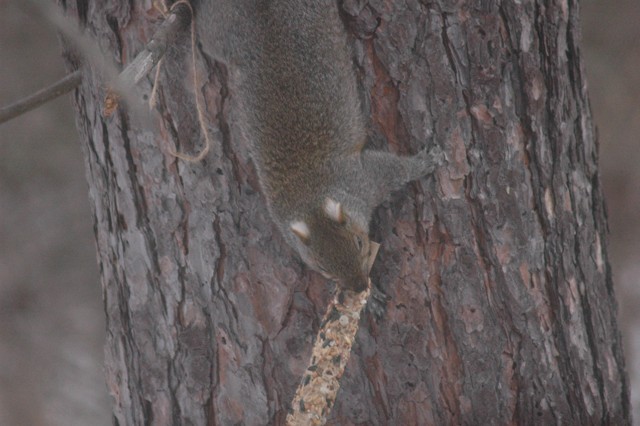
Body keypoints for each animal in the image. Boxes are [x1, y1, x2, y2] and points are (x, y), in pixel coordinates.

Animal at [196, 0, 442, 292]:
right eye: (323, 269)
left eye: (359, 242)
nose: (359, 287)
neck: (310, 197)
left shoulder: (363, 178)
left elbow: (395, 169)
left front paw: (427, 161)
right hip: (219, 31)